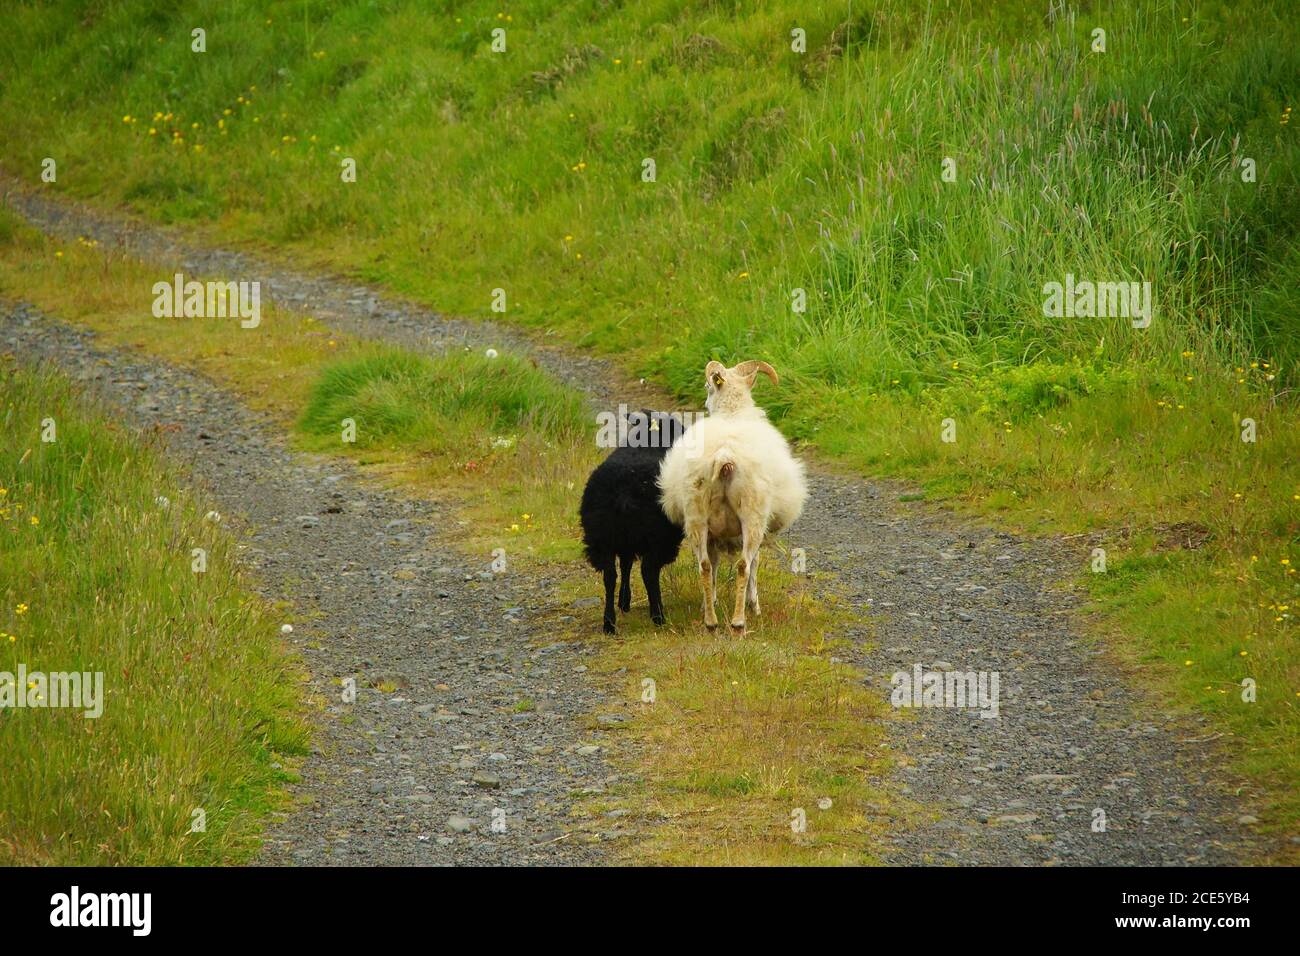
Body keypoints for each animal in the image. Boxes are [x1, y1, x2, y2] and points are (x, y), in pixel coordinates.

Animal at [580, 410, 687, 634]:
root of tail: (624, 492)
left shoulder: (623, 541)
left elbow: (625, 565)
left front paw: (624, 601)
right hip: (658, 536)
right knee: (648, 571)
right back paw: (658, 615)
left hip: (601, 538)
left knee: (609, 575)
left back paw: (609, 622)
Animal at [658, 360, 807, 633]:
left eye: (707, 387)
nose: (705, 402)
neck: (733, 412)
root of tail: (724, 457)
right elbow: (755, 565)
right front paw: (754, 604)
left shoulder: (713, 533)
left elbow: (714, 564)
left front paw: (711, 601)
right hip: (753, 515)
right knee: (743, 566)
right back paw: (739, 621)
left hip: (697, 514)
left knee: (704, 566)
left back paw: (710, 621)